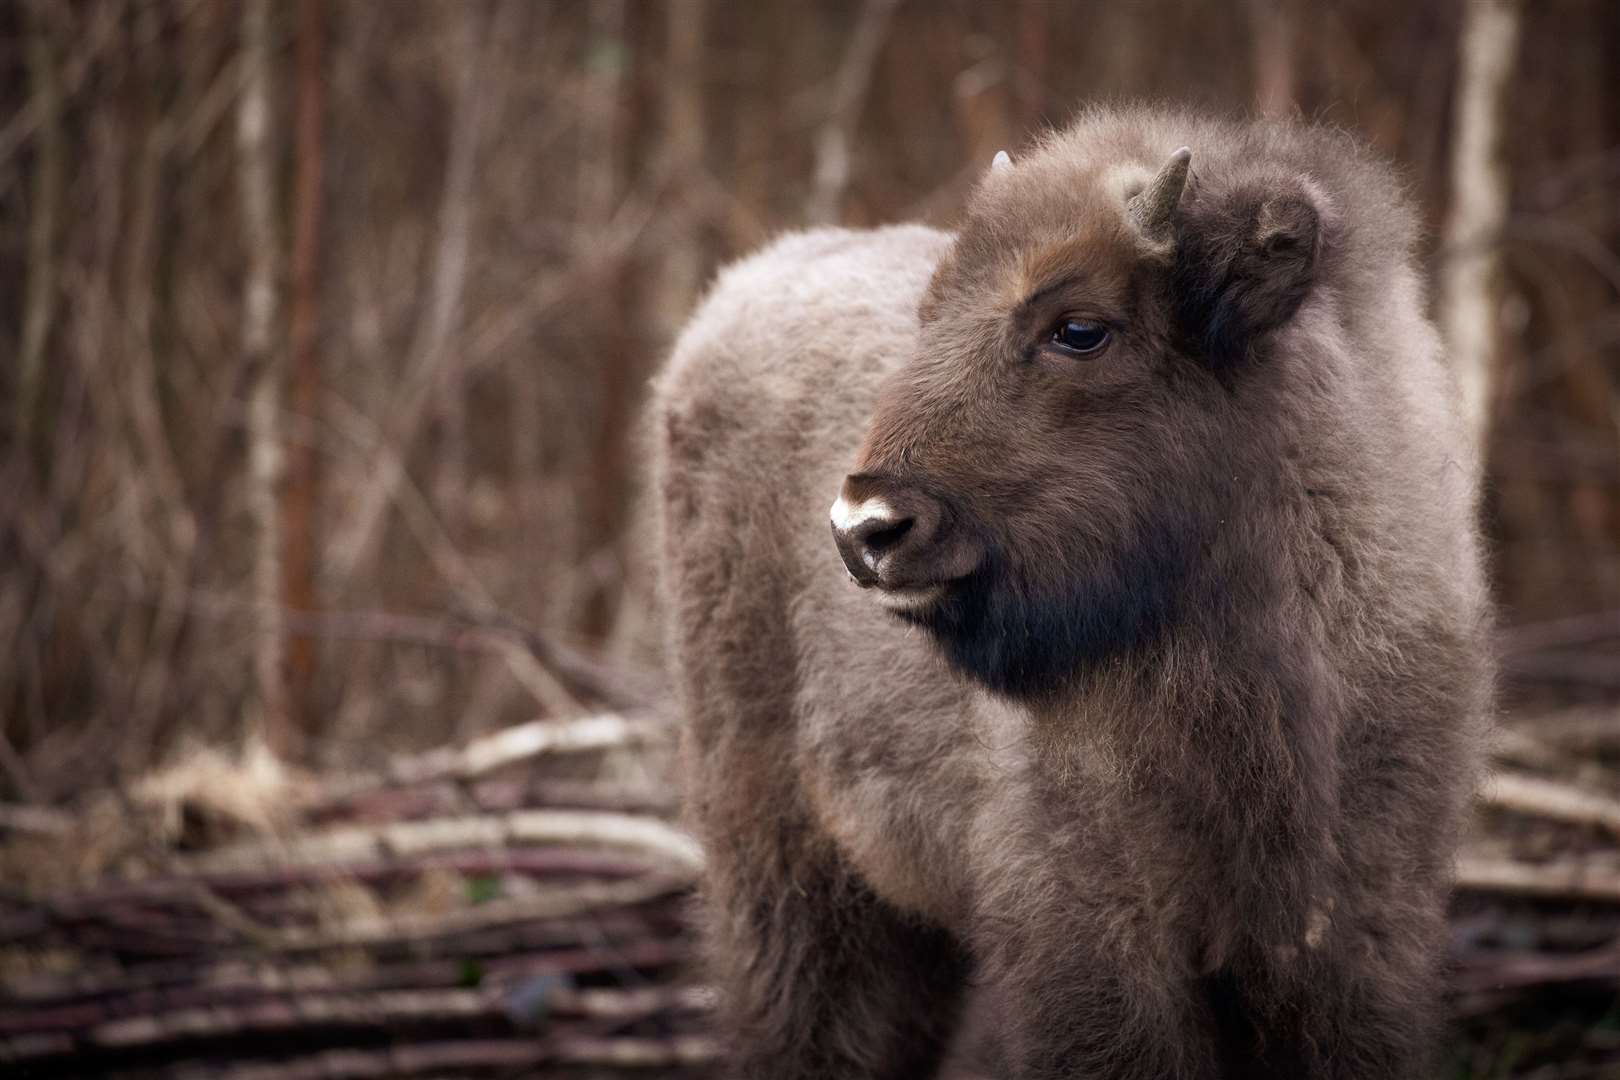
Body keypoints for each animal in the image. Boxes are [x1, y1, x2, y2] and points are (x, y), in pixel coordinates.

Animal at [651, 107, 1483, 1080]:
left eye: (1079, 329)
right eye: (929, 315)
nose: (864, 527)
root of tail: (729, 303)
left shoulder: (1359, 928)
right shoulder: (1090, 933)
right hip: (782, 857)